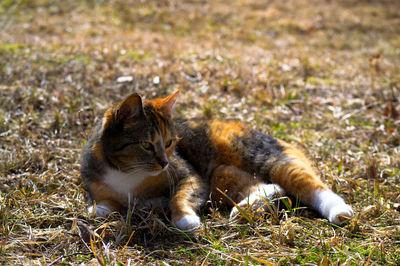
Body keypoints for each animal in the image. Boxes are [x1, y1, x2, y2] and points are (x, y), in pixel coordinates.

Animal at [80, 90, 354, 231]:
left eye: (169, 143)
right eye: (147, 145)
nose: (165, 163)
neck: (127, 172)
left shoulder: (190, 176)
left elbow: (179, 196)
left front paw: (184, 219)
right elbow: (105, 204)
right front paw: (100, 209)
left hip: (265, 158)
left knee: (306, 184)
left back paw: (340, 211)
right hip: (220, 175)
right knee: (271, 187)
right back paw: (245, 209)